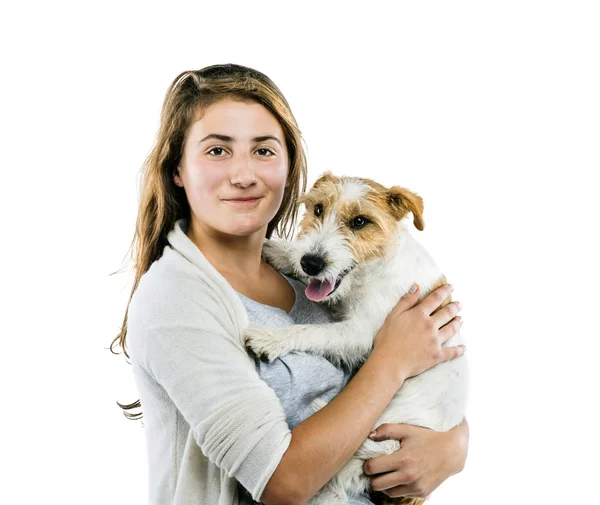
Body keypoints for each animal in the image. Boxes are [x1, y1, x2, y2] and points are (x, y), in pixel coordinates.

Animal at [244, 172, 468, 504]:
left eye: (360, 222)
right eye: (318, 209)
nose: (311, 263)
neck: (375, 268)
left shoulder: (359, 333)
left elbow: (313, 332)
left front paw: (269, 338)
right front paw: (276, 251)